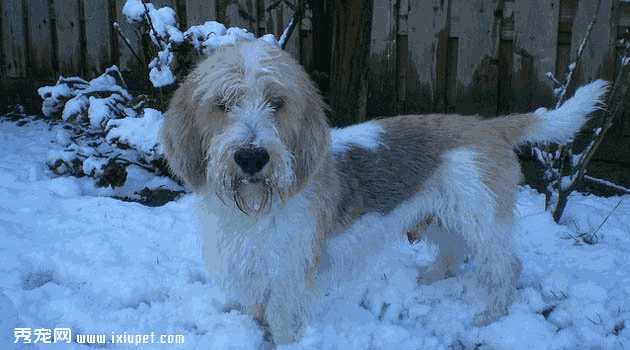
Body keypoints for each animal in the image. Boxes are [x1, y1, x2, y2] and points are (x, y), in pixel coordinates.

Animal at [160, 39, 608, 344]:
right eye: (222, 104)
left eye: (277, 102)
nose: (251, 157)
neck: (255, 208)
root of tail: (489, 125)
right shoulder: (252, 267)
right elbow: (257, 308)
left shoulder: (290, 271)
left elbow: (283, 318)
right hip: (442, 213)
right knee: (453, 251)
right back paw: (429, 278)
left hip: (481, 218)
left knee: (506, 266)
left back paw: (489, 316)